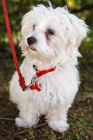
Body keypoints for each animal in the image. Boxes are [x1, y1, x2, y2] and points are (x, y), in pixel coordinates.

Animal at [9, 3, 88, 132]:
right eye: (33, 26)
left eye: (51, 31)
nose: (30, 39)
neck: (44, 67)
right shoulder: (28, 93)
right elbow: (29, 109)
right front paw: (26, 122)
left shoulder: (61, 94)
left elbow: (57, 112)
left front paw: (57, 124)